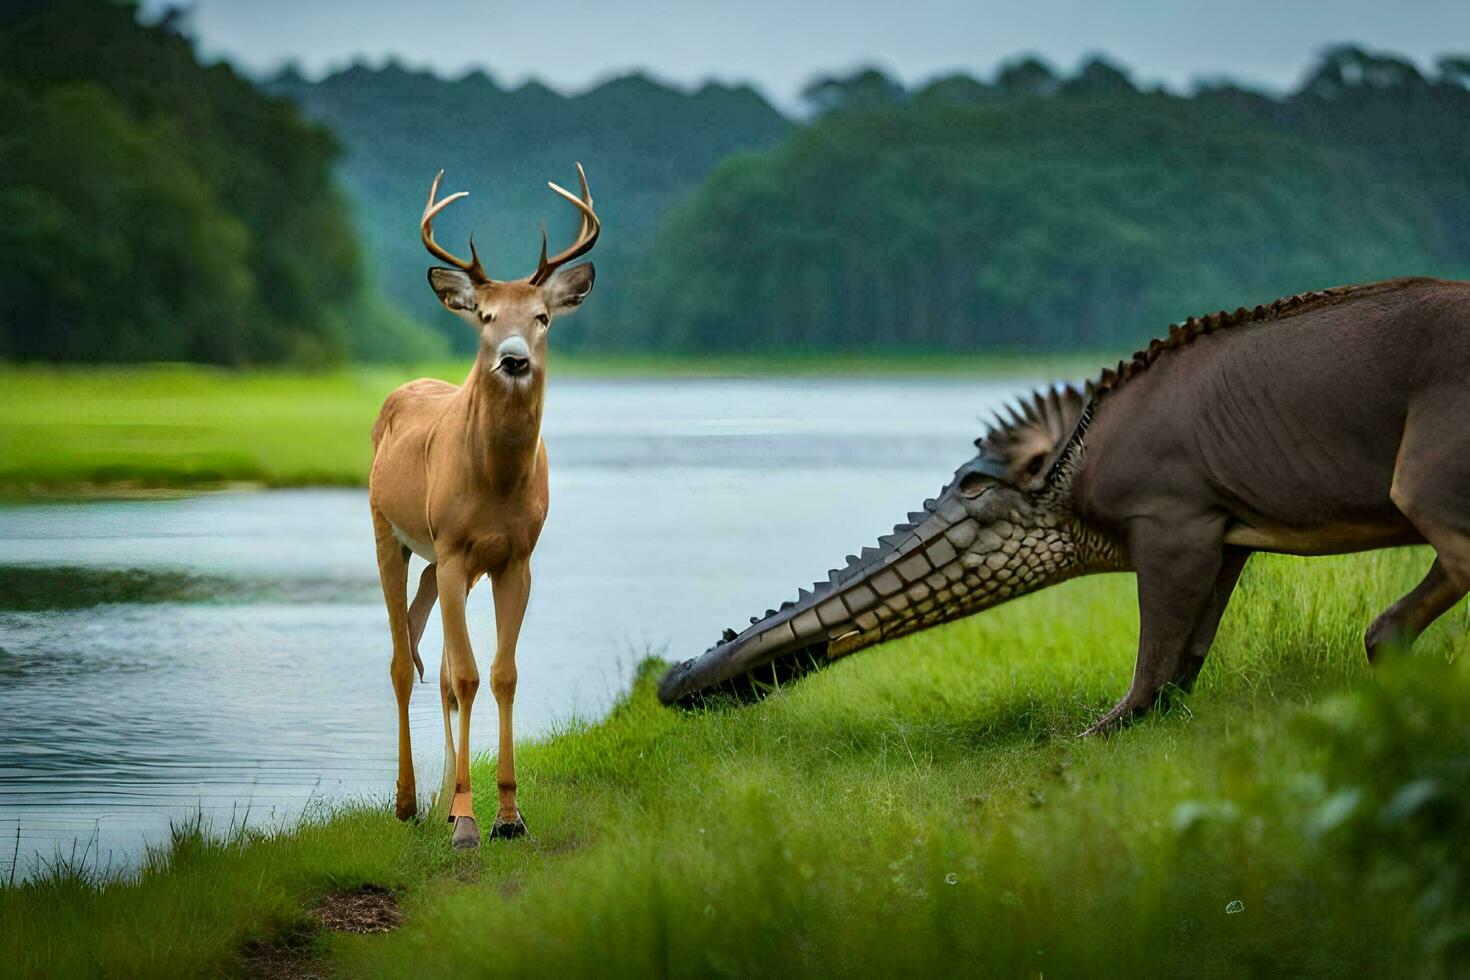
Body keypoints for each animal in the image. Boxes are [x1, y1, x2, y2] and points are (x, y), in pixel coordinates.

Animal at [367, 163, 596, 852]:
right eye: (487, 315)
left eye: (543, 316)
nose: (513, 358)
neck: (495, 484)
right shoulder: (452, 548)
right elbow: (468, 675)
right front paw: (467, 821)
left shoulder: (515, 557)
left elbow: (500, 674)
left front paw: (507, 816)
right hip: (390, 532)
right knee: (401, 663)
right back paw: (410, 802)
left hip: (440, 565)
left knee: (435, 667)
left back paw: (440, 801)